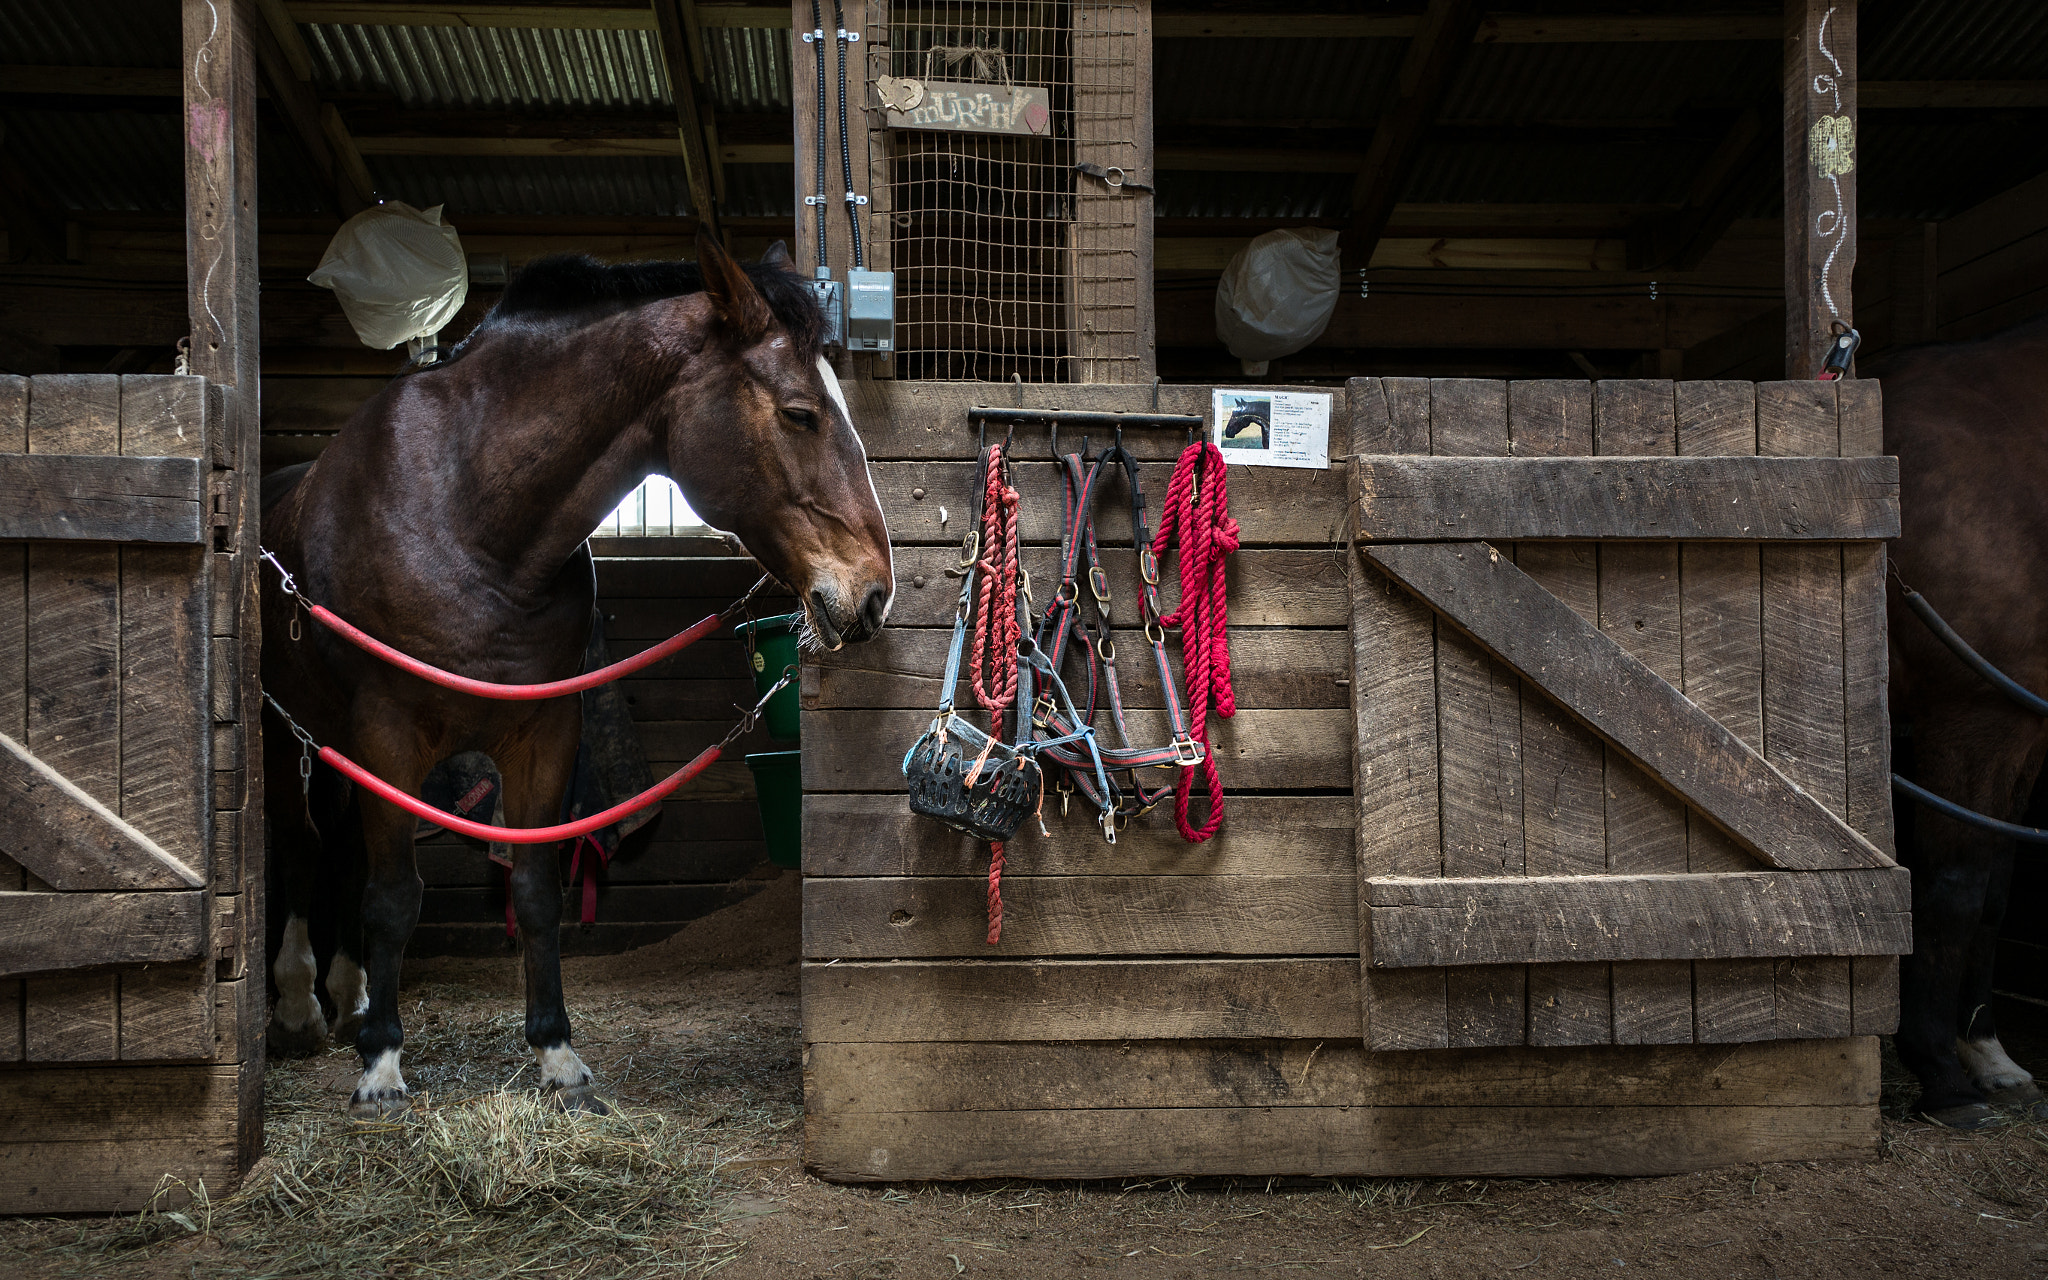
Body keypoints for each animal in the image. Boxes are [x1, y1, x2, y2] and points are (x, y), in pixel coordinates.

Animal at [260, 234, 892, 1114]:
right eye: (801, 413)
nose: (874, 591)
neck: (465, 517)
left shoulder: (544, 731)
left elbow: (534, 888)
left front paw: (556, 1056)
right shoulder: (388, 731)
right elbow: (393, 897)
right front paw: (382, 1066)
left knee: (344, 850)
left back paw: (349, 999)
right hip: (289, 735)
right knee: (302, 847)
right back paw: (299, 1009)